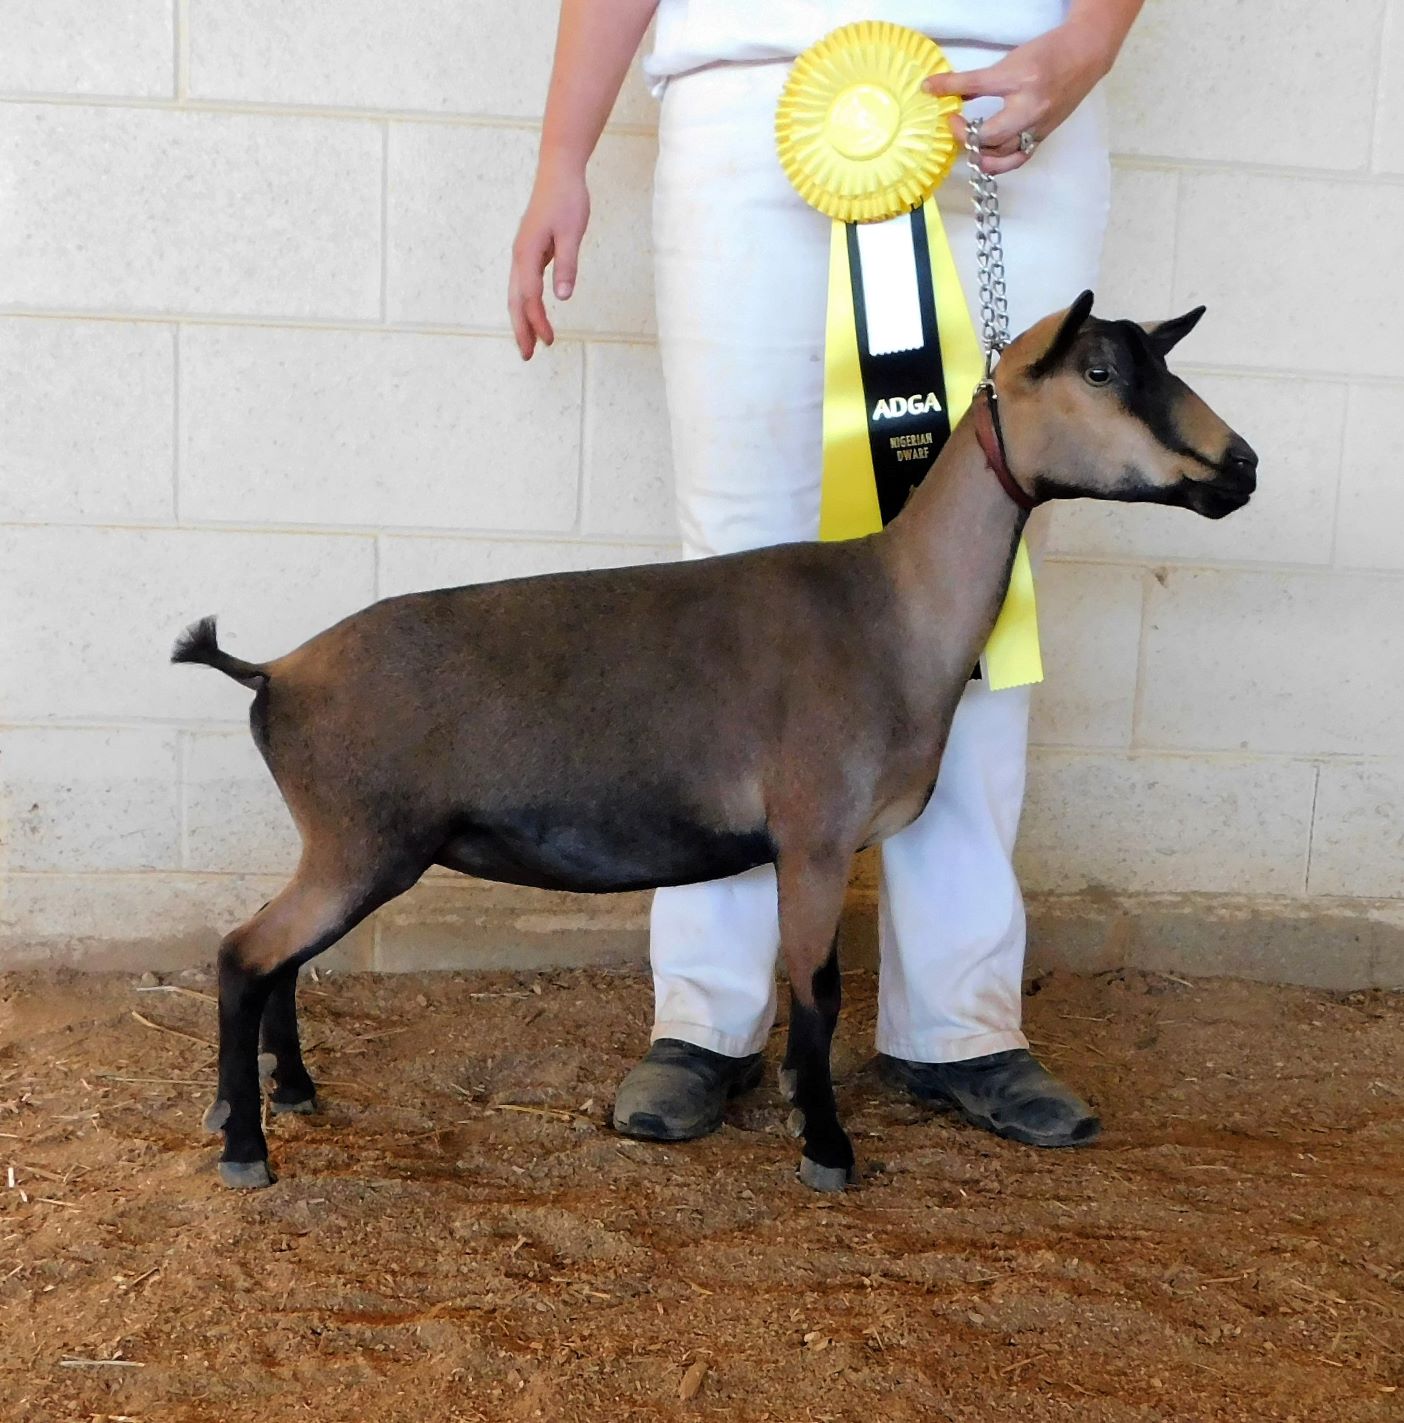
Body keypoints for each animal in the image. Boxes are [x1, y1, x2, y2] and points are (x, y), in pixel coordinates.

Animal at [173, 291, 1257, 1191]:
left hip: (343, 848)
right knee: (244, 953)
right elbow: (817, 990)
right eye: (1101, 372)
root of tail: (274, 672)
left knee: (276, 961)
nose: (1242, 466)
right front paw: (827, 1146)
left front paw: (801, 1105)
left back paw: (286, 1092)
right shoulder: (814, 837)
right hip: (357, 843)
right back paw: (244, 1143)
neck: (893, 610)